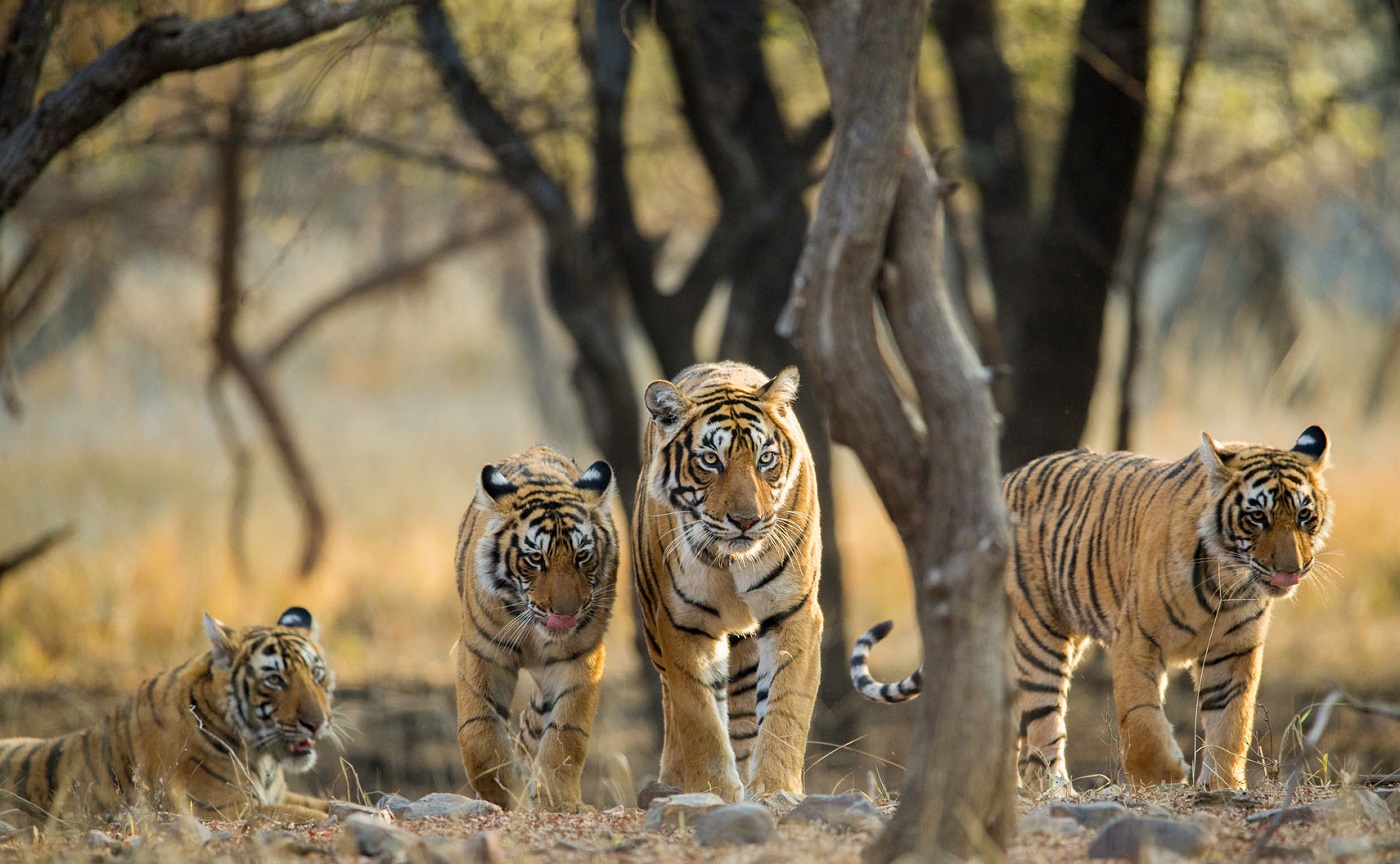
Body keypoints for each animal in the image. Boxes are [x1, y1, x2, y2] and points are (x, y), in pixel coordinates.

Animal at [0, 607, 335, 825]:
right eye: (275, 679)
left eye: (316, 673)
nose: (317, 723)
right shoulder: (223, 808)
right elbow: (311, 815)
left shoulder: (275, 796)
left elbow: (333, 803)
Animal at [453, 445, 618, 811]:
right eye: (535, 559)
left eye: (582, 556)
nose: (566, 615)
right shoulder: (482, 653)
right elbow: (479, 734)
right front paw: (504, 796)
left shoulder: (579, 657)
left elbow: (566, 735)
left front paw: (559, 802)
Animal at [634, 361, 823, 802]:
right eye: (710, 460)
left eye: (766, 459)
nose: (746, 521)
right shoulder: (683, 623)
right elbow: (699, 717)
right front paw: (713, 791)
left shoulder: (794, 612)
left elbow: (786, 707)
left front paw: (775, 789)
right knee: (674, 707)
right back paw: (671, 781)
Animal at [850, 426, 1333, 792]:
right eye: (1257, 518)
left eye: (1304, 517)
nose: (1292, 570)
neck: (1226, 583)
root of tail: (1003, 481)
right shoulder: (1135, 640)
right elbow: (1140, 717)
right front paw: (1162, 777)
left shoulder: (1233, 652)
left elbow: (1233, 722)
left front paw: (1223, 786)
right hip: (1039, 636)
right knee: (1042, 726)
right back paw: (1055, 791)